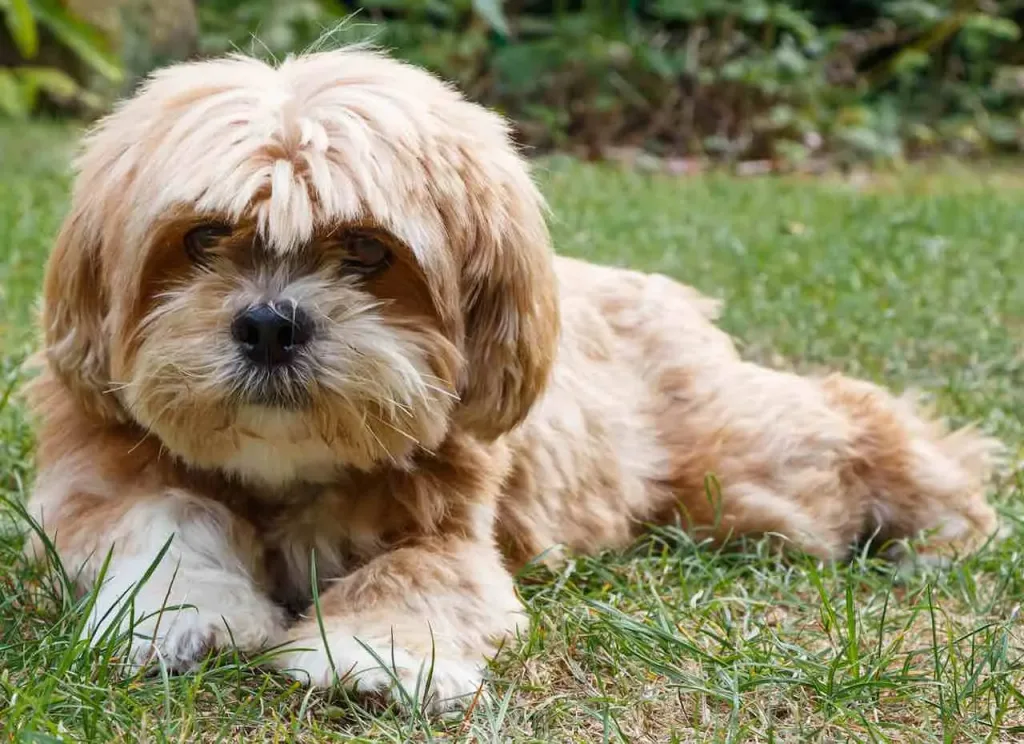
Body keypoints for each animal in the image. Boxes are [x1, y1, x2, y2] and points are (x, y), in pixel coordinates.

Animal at [22, 46, 999, 708]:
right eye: (201, 239)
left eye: (366, 251)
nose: (269, 323)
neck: (287, 471)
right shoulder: (98, 480)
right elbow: (167, 522)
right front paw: (188, 615)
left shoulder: (452, 531)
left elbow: (417, 576)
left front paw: (374, 657)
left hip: (746, 468)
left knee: (847, 415)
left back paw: (942, 510)